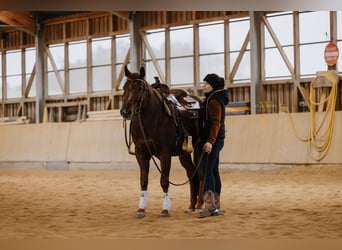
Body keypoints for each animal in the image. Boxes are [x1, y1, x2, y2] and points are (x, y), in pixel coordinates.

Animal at [119, 65, 203, 218]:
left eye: (140, 88)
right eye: (125, 87)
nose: (125, 112)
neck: (152, 119)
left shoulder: (165, 153)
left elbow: (164, 181)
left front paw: (165, 210)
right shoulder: (141, 153)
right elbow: (143, 181)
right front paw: (141, 209)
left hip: (200, 147)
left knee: (200, 173)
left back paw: (199, 205)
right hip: (184, 153)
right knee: (191, 173)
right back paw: (191, 206)